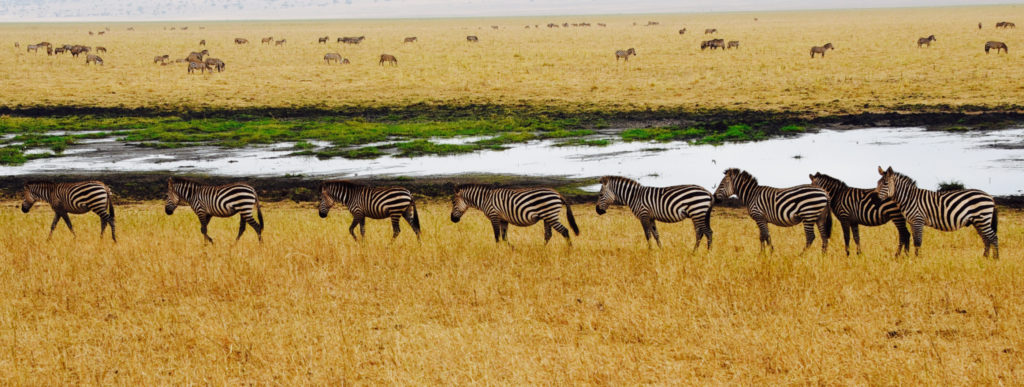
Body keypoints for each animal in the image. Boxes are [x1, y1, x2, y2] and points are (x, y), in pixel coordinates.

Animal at [446, 183, 577, 244]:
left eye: (453, 202)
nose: (452, 219)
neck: (485, 199)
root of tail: (557, 193)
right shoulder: (503, 219)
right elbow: (504, 237)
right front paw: (513, 250)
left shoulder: (494, 216)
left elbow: (497, 237)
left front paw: (498, 252)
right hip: (547, 217)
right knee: (548, 235)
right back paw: (542, 250)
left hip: (551, 215)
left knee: (565, 231)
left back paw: (569, 251)